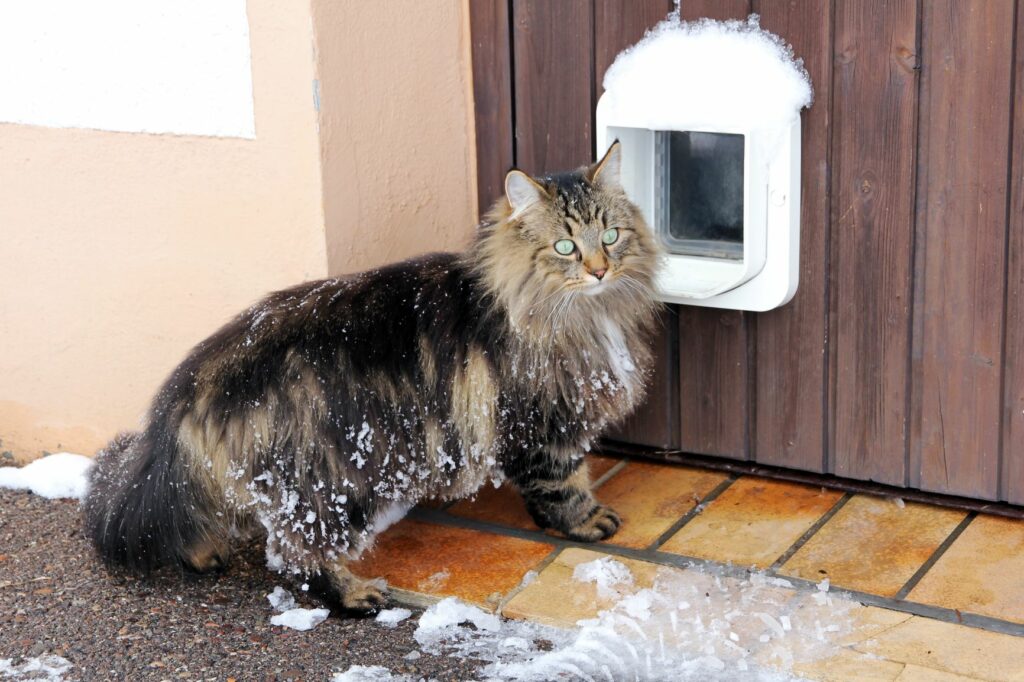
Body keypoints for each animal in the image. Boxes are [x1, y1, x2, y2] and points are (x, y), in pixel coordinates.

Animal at [86, 142, 663, 610]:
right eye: (566, 246)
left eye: (611, 235)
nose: (599, 269)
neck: (581, 313)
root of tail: (194, 379)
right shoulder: (543, 422)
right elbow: (564, 483)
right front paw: (588, 521)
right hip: (330, 478)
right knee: (296, 553)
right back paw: (354, 595)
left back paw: (204, 554)